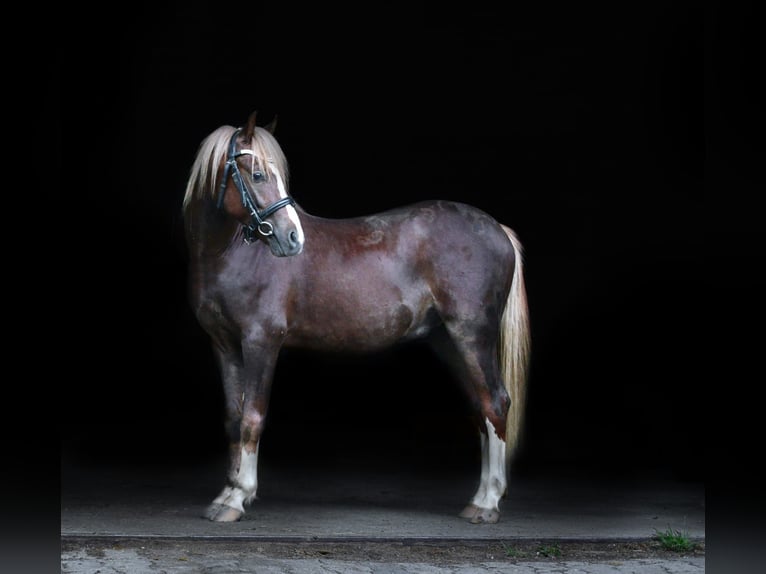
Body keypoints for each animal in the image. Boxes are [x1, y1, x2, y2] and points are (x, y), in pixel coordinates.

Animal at [182, 111, 531, 524]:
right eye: (258, 175)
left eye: (270, 174)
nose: (293, 238)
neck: (230, 254)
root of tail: (498, 230)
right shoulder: (224, 344)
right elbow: (234, 420)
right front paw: (226, 494)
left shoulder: (261, 341)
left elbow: (253, 416)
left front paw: (239, 497)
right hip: (449, 341)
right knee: (481, 406)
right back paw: (480, 499)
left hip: (473, 336)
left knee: (496, 403)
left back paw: (488, 502)